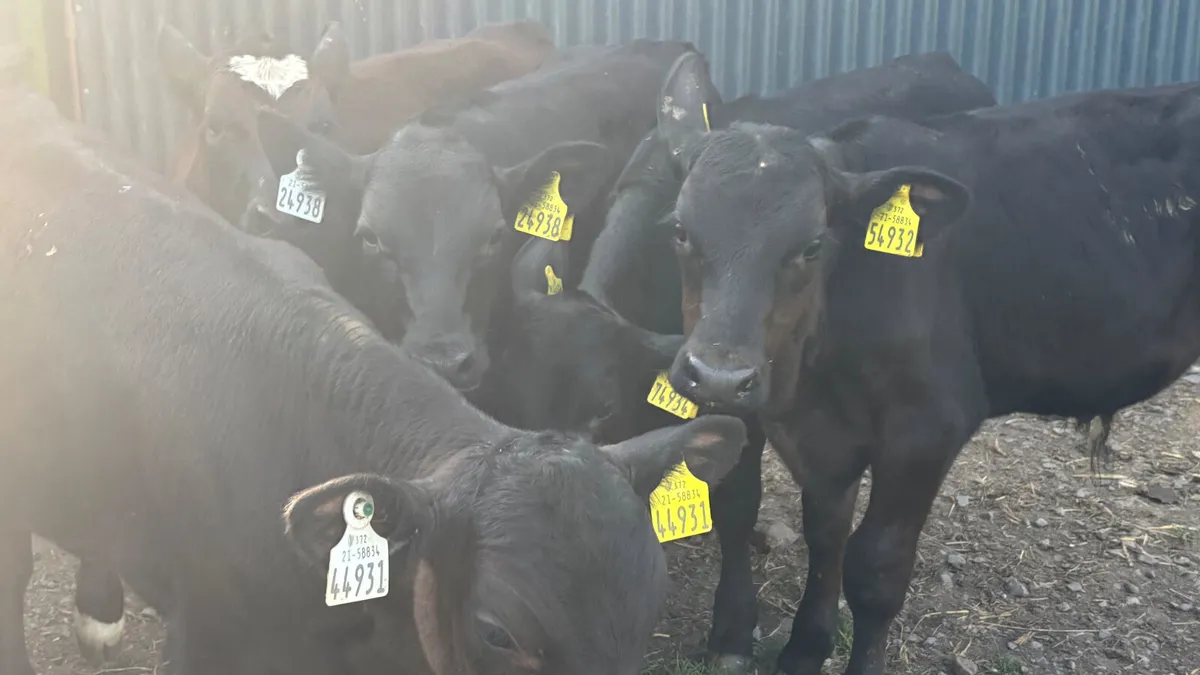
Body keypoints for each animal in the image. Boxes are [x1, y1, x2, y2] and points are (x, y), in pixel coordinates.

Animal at [654, 49, 1200, 675]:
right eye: (679, 230)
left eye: (812, 246)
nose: (720, 376)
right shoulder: (814, 433)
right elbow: (824, 534)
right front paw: (804, 648)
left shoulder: (927, 428)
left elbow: (876, 569)